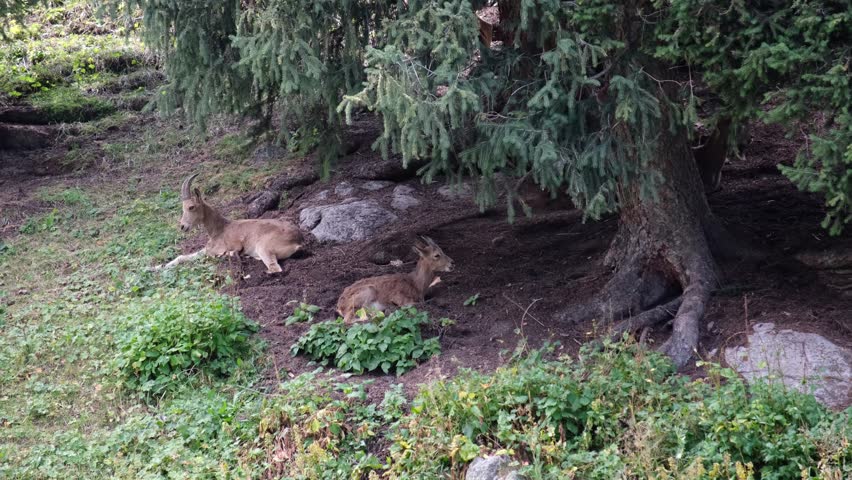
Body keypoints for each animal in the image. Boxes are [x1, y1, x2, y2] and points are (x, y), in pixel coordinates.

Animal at [159, 174, 303, 273]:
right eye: (182, 207)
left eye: (191, 207)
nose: (182, 226)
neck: (219, 228)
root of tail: (298, 242)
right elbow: (182, 257)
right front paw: (157, 267)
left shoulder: (216, 248)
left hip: (264, 248)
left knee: (275, 268)